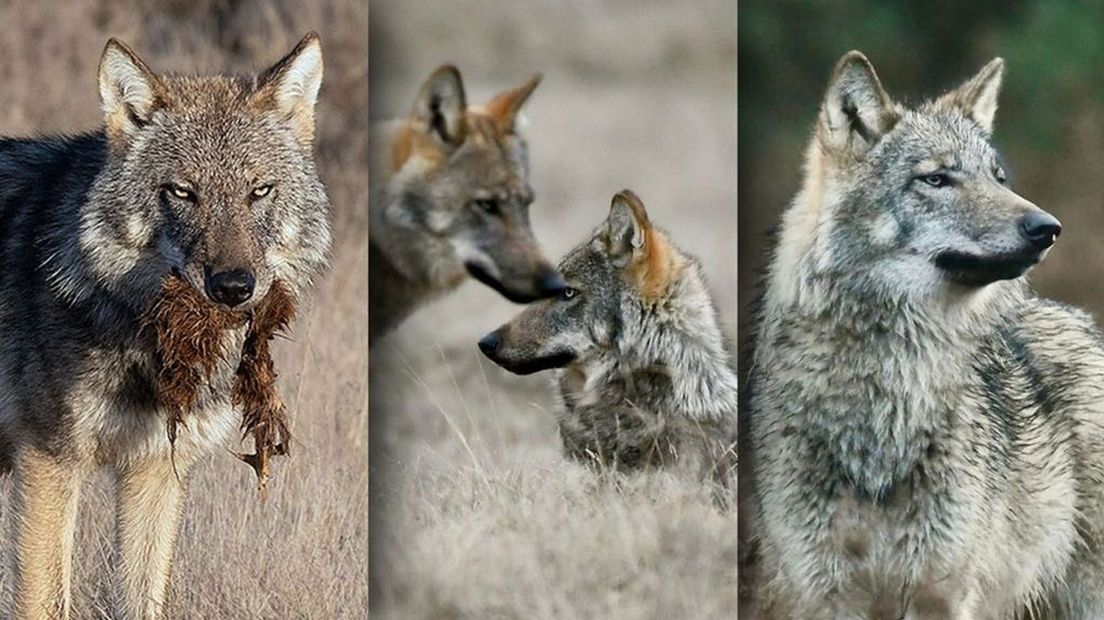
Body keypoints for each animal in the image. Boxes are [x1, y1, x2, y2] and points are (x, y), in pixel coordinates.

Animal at [0, 36, 328, 613]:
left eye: (259, 191)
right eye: (183, 192)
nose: (233, 286)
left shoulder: (156, 470)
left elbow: (142, 599)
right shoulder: (48, 460)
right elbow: (45, 600)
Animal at [746, 50, 1104, 613]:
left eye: (998, 177)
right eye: (935, 180)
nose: (1047, 228)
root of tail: (1079, 320)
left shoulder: (940, 589)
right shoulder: (826, 591)